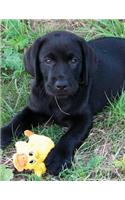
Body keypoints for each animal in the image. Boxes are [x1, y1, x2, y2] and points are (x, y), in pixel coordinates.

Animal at [0, 30, 125, 175]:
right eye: (48, 60)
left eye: (74, 60)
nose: (61, 85)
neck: (57, 100)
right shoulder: (33, 108)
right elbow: (17, 120)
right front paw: (3, 133)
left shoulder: (83, 119)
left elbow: (70, 136)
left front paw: (58, 158)